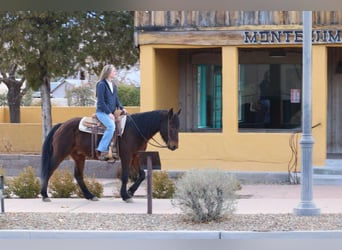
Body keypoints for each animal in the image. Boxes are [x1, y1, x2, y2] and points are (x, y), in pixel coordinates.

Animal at [39, 108, 182, 202]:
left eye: (178, 127)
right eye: (171, 127)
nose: (174, 146)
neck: (135, 129)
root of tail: (61, 125)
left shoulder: (135, 156)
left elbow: (142, 175)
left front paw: (130, 191)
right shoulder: (126, 156)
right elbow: (125, 176)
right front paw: (125, 195)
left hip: (79, 156)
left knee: (78, 176)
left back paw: (90, 196)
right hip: (60, 153)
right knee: (49, 170)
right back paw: (45, 195)